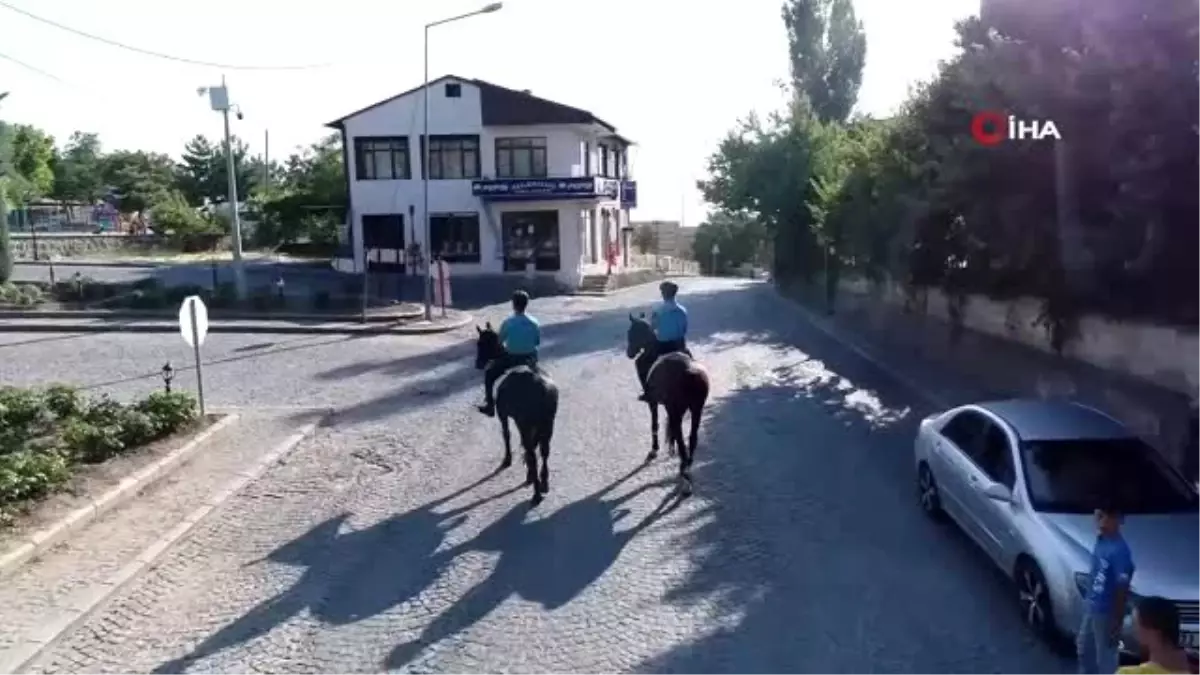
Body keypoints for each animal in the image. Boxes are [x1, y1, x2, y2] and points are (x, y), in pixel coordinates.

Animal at [624, 312, 705, 494]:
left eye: (631, 333)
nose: (629, 353)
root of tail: (689, 372)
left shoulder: (653, 402)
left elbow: (654, 423)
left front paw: (654, 449)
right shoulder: (670, 407)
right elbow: (671, 429)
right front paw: (670, 447)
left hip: (679, 410)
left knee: (683, 440)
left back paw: (684, 475)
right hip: (696, 409)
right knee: (692, 438)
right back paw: (687, 467)